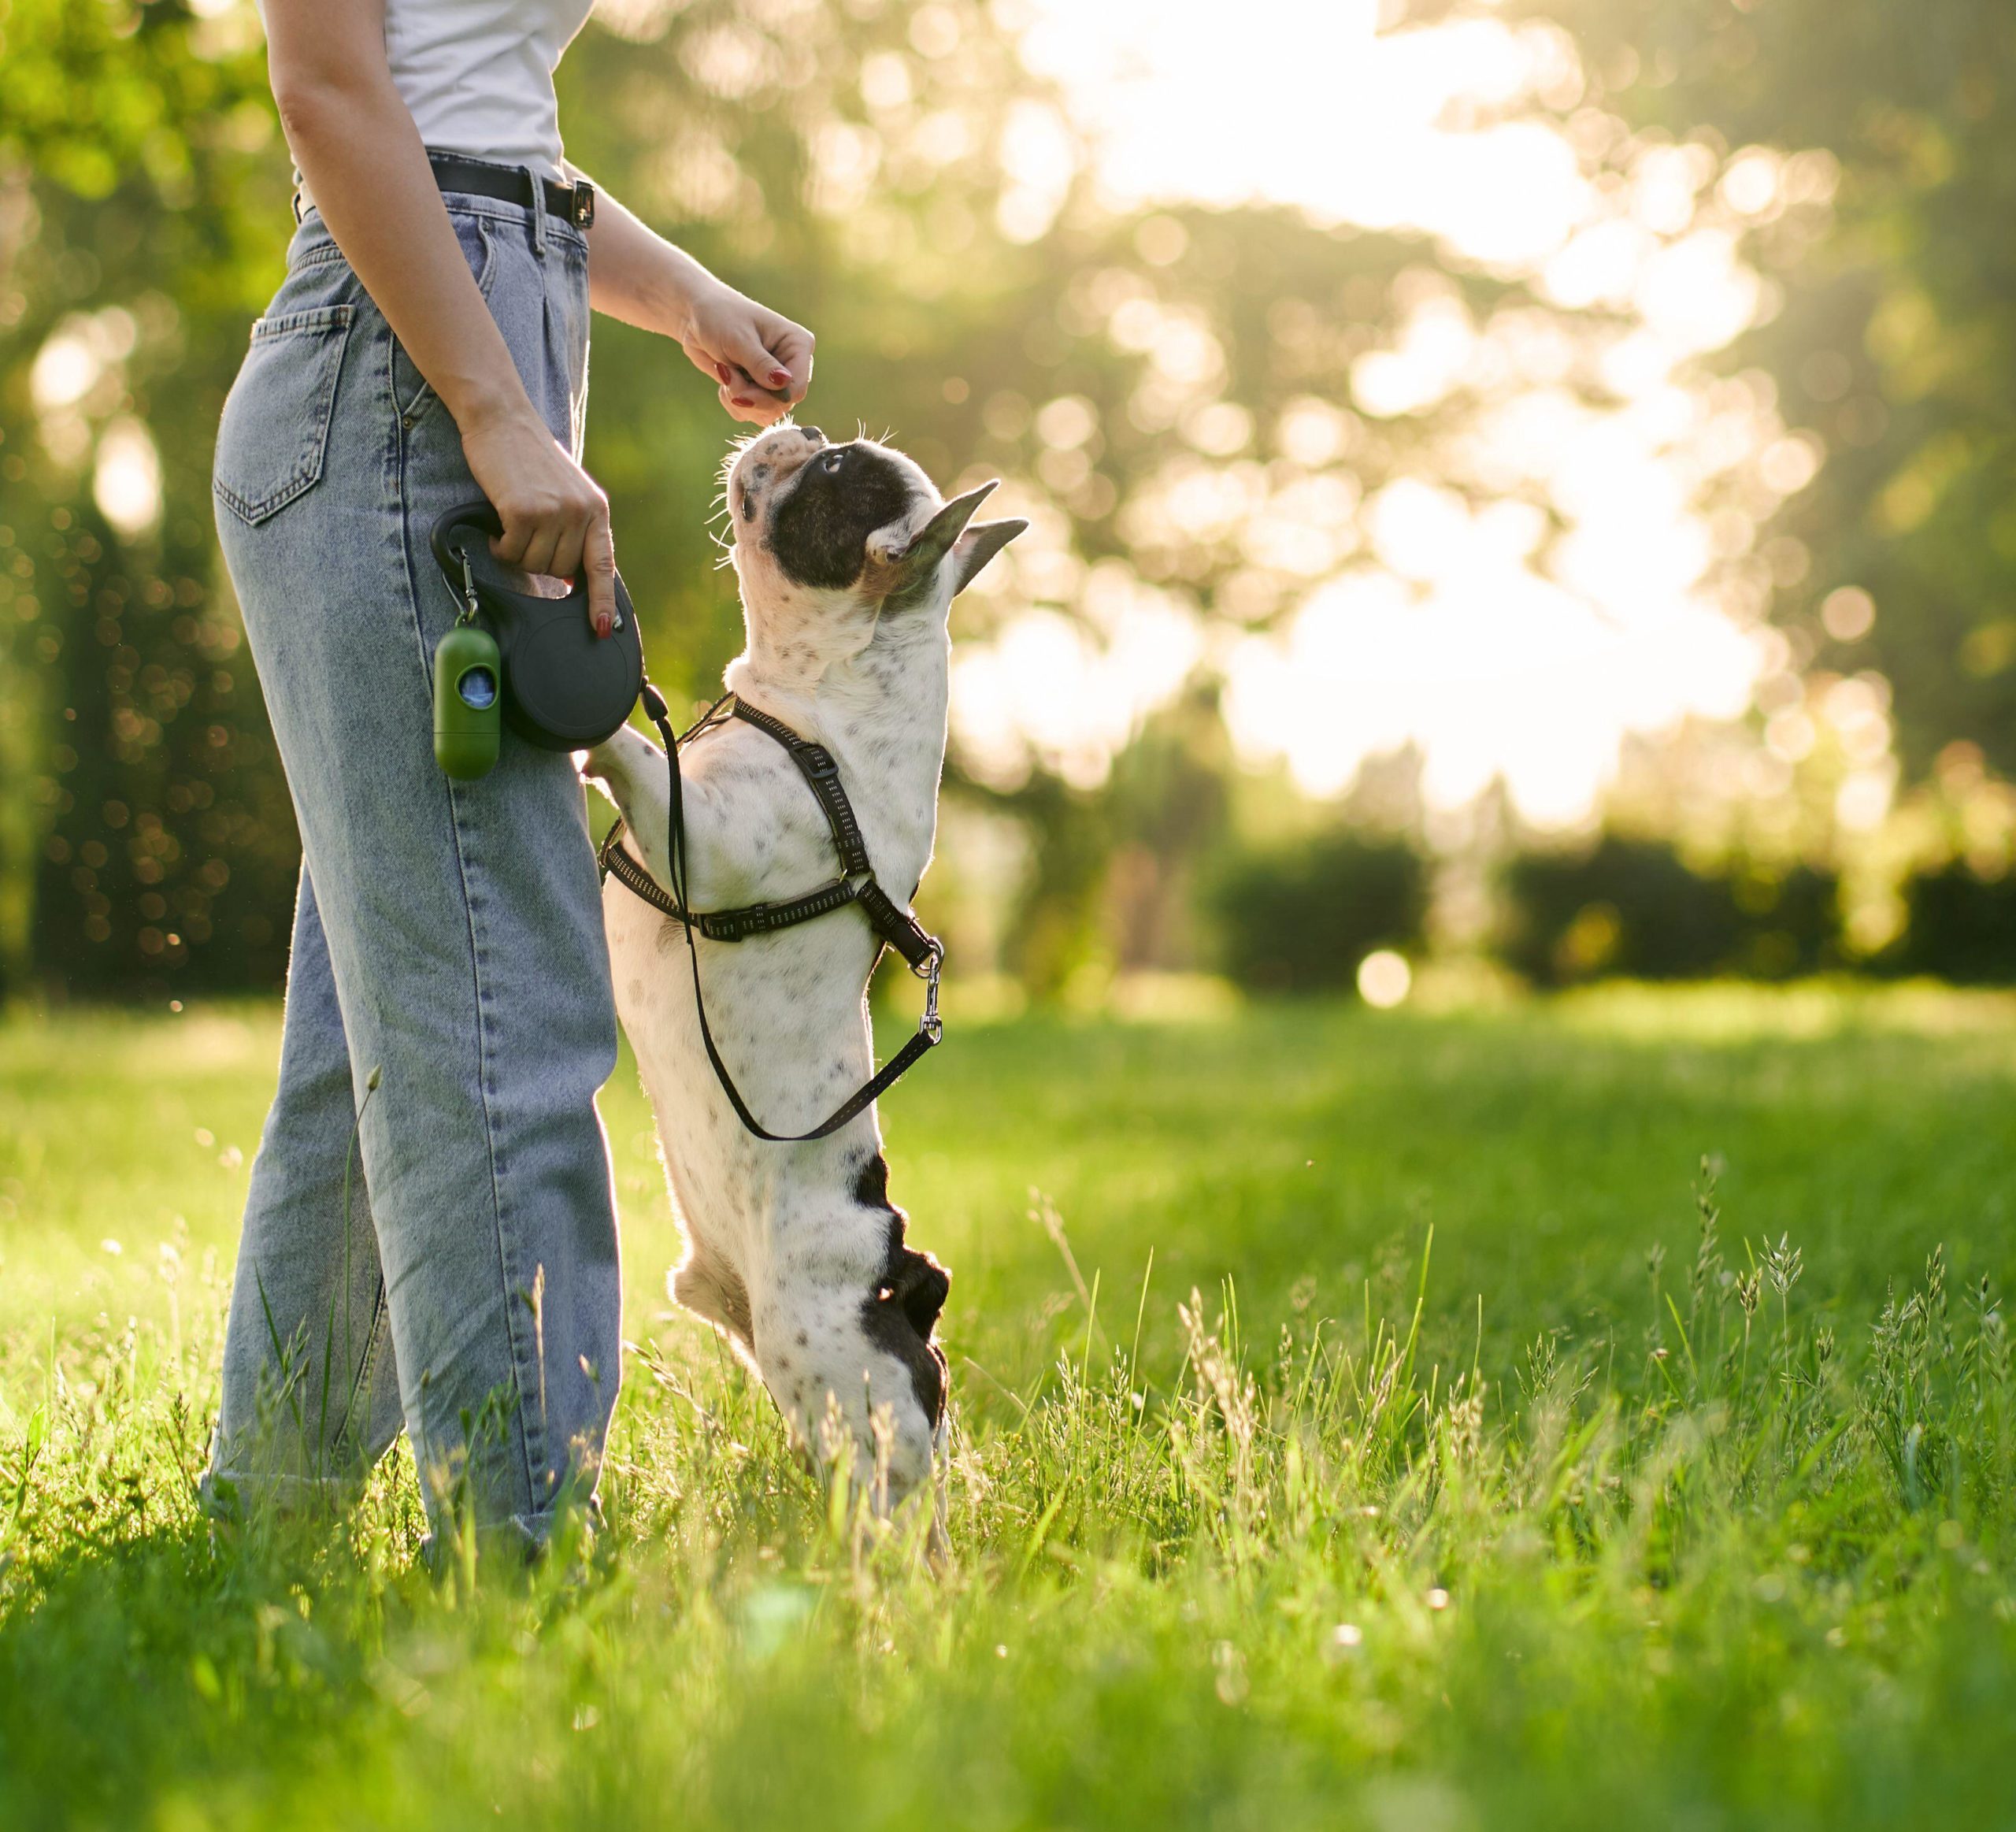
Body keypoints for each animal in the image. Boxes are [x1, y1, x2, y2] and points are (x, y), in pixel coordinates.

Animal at [584, 425, 1024, 1499]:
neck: (816, 709)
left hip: (833, 1368)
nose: (802, 430)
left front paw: (598, 722)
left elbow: (643, 759)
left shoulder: (707, 840)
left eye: (830, 475)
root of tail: (905, 1281)